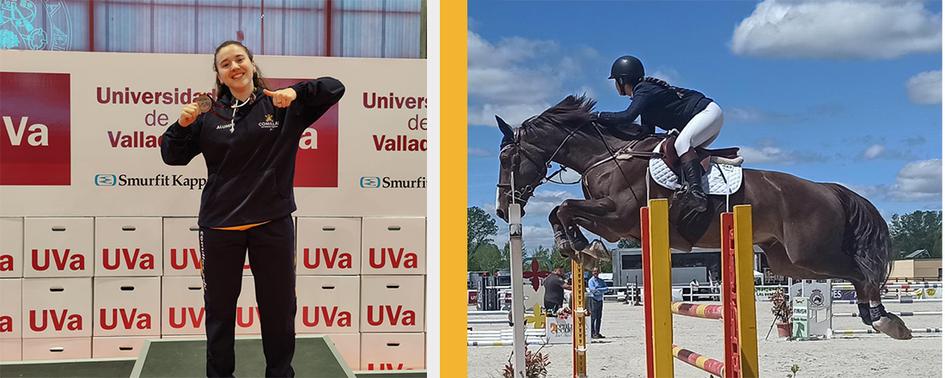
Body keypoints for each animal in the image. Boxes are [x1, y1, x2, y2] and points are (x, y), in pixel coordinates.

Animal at [494, 94, 916, 340]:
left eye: (507, 158)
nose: (502, 207)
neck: (607, 157)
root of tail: (828, 189)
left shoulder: (619, 218)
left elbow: (564, 207)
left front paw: (582, 246)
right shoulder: (614, 221)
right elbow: (560, 210)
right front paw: (577, 246)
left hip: (809, 253)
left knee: (860, 271)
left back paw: (885, 320)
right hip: (788, 259)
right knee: (851, 273)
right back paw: (877, 318)